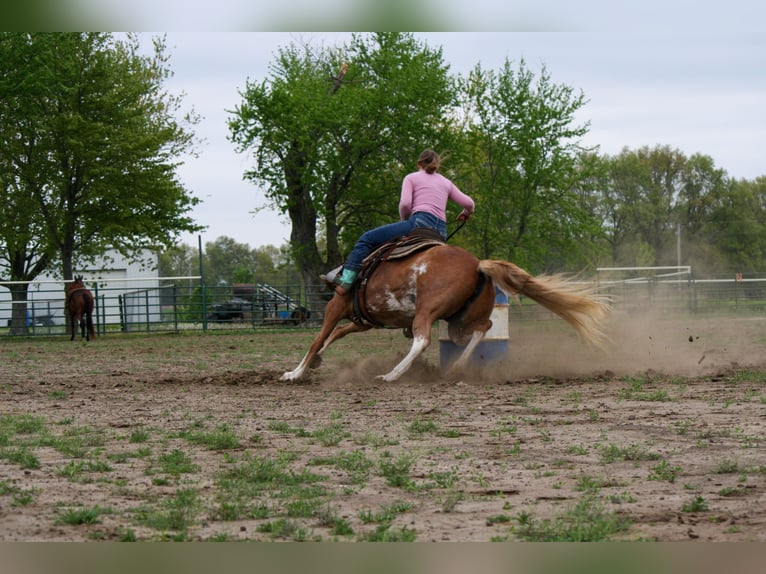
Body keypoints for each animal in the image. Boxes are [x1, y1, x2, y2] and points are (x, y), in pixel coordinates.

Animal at [281, 239, 611, 383]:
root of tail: (478, 265)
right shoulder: (363, 321)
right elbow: (334, 335)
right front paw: (315, 363)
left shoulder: (336, 305)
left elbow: (318, 339)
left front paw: (295, 372)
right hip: (459, 321)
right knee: (481, 330)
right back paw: (455, 368)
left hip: (427, 311)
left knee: (422, 339)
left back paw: (392, 374)